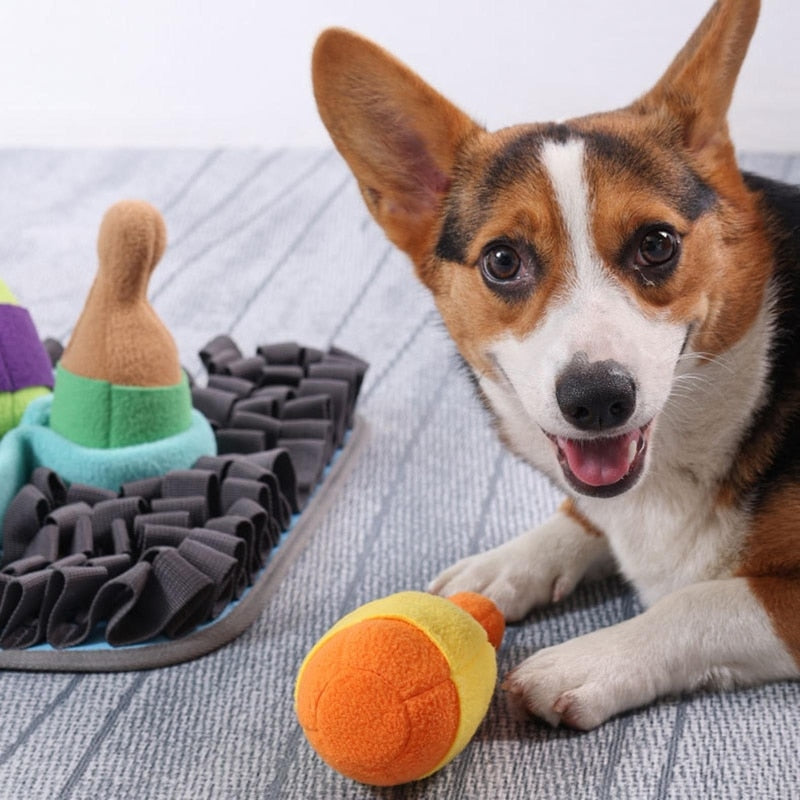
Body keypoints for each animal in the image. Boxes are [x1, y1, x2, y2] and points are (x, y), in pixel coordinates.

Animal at [310, 0, 800, 732]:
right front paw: (502, 567)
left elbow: (702, 599)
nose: (597, 399)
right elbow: (580, 518)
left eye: (657, 244)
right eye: (502, 260)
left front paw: (585, 662)